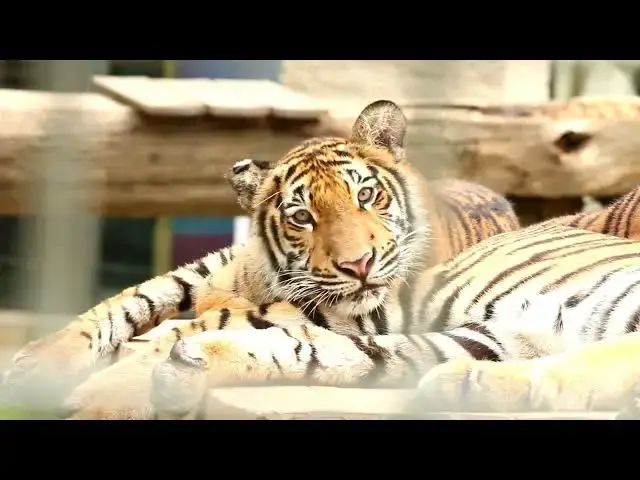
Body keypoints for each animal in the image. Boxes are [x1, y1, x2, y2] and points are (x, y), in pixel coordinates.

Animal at [1, 99, 522, 419]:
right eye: (302, 216)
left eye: (366, 195)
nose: (359, 266)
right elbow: (137, 301)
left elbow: (191, 334)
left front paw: (102, 402)